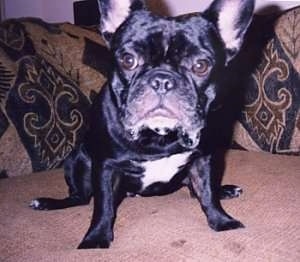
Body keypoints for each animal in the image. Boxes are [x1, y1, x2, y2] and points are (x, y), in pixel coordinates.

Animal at [31, 0, 253, 250]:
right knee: (80, 198)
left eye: (200, 65)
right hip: (78, 160)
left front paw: (222, 220)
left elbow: (206, 194)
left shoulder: (202, 159)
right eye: (128, 60)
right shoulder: (105, 166)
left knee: (194, 190)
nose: (162, 80)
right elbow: (103, 206)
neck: (159, 136)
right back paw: (47, 203)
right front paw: (95, 238)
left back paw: (224, 190)